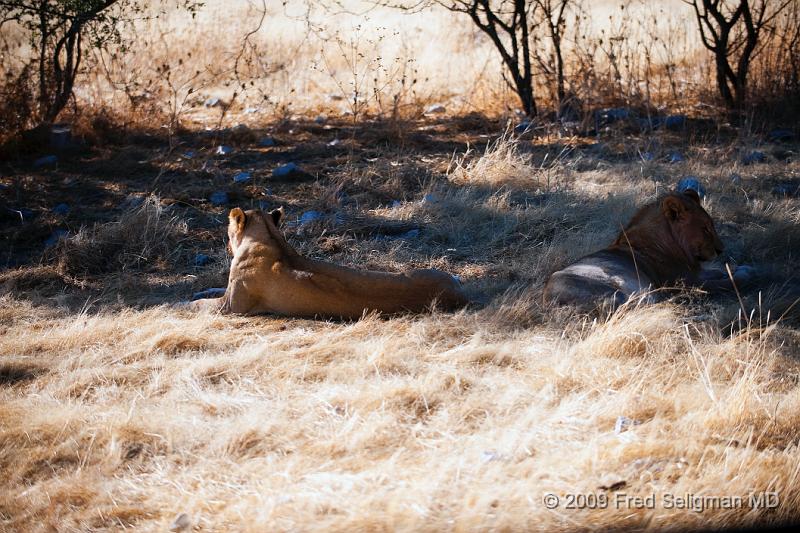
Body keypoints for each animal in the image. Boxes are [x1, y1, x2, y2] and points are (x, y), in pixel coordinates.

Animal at [188, 206, 468, 318]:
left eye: (227, 231)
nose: (225, 243)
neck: (268, 237)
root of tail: (459, 292)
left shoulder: (230, 306)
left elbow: (201, 305)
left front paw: (184, 304)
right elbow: (210, 290)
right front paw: (198, 291)